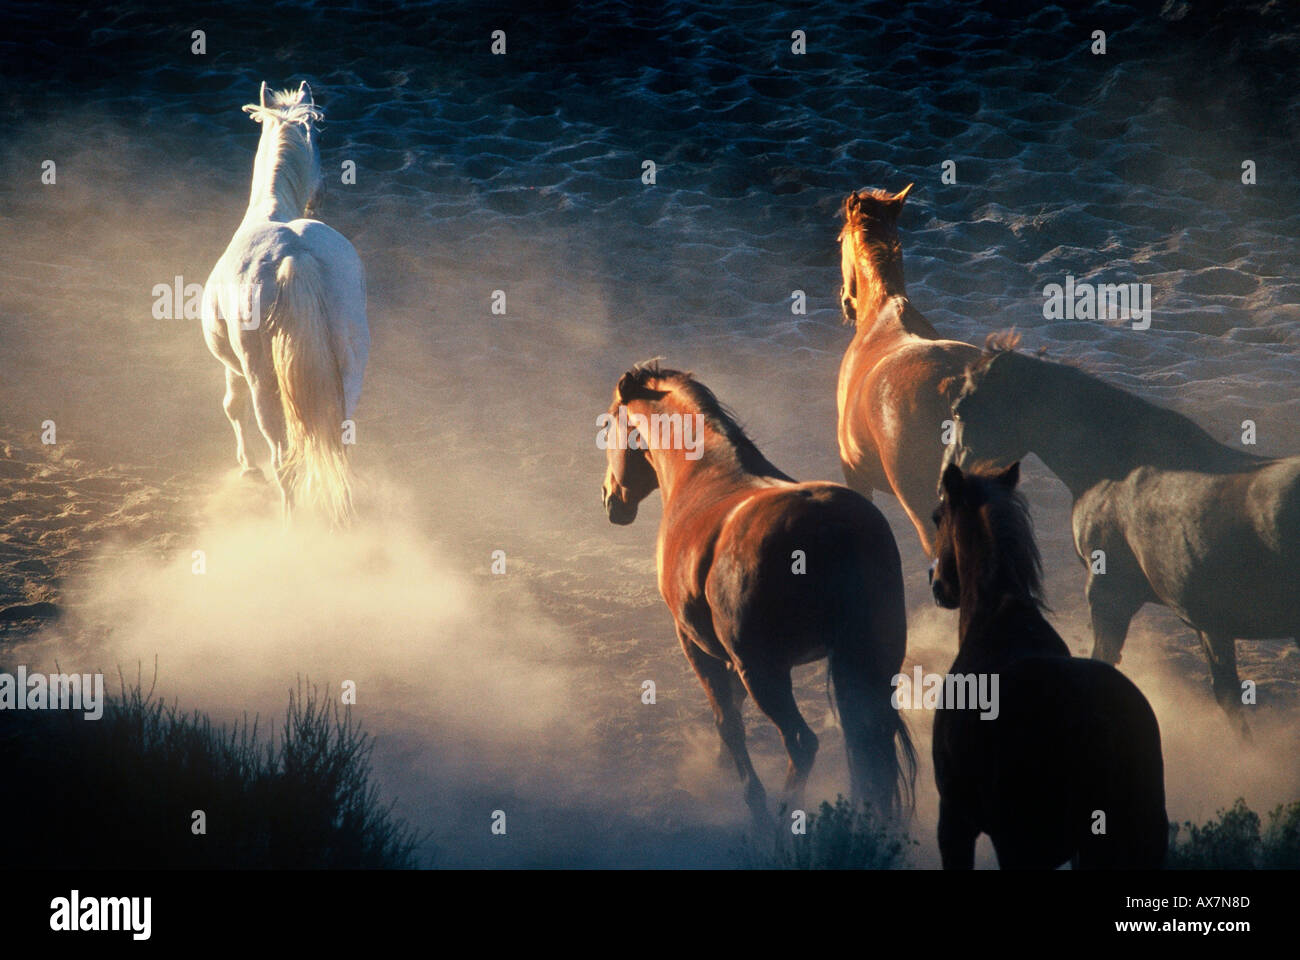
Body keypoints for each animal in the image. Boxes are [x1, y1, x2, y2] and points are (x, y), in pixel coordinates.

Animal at [201, 82, 369, 526]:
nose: (321, 194)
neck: (272, 212)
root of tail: (295, 254)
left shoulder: (233, 368)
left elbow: (231, 407)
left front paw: (247, 468)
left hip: (264, 383)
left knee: (284, 459)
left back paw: (292, 528)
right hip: (350, 371)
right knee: (340, 449)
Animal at [599, 360, 916, 823]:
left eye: (609, 427)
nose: (609, 500)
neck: (707, 475)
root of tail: (830, 528)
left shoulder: (696, 644)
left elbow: (728, 719)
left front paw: (749, 794)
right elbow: (731, 710)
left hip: (766, 673)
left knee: (801, 743)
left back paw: (782, 817)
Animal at [944, 342, 1300, 730]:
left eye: (959, 409)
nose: (949, 485)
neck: (1113, 471)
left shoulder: (1108, 597)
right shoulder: (1208, 622)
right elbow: (1228, 696)